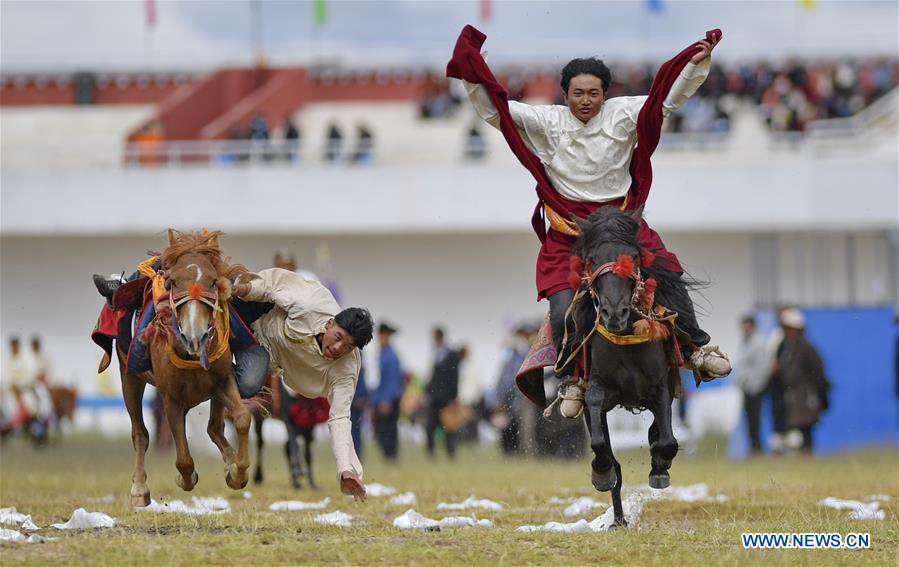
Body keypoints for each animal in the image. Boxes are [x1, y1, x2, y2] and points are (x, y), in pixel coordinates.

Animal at [119, 231, 253, 506]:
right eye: (173, 282)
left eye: (213, 281)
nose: (195, 335)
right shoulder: (170, 398)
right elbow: (183, 459)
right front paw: (185, 478)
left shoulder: (222, 381)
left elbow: (242, 418)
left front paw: (237, 472)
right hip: (129, 378)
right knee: (140, 433)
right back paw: (139, 489)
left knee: (214, 427)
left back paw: (230, 464)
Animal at [568, 207, 688, 528]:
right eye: (592, 259)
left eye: (633, 256)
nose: (614, 313)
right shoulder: (598, 389)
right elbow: (600, 441)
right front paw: (602, 471)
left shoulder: (660, 388)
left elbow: (667, 440)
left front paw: (660, 466)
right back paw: (618, 518)